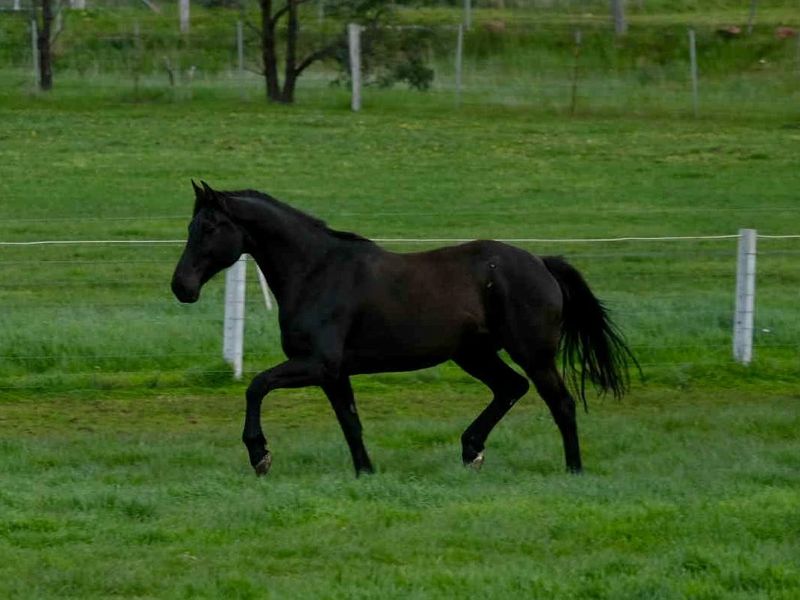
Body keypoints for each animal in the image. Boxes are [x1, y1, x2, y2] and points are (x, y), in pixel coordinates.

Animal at [171, 181, 637, 477]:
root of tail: (541, 263)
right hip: (473, 354)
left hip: (532, 353)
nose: (181, 287)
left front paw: (260, 455)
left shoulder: (317, 364)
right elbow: (350, 423)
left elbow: (256, 386)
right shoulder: (334, 374)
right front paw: (366, 472)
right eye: (190, 227)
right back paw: (471, 450)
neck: (316, 271)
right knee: (511, 388)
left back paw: (573, 469)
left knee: (561, 403)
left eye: (209, 227)